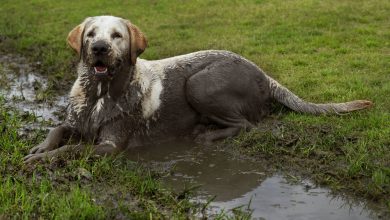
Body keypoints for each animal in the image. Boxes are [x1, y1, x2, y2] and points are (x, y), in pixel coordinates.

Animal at [23, 15, 372, 162]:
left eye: (117, 36)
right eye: (91, 34)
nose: (99, 48)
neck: (99, 92)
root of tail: (263, 73)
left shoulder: (111, 144)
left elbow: (73, 149)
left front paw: (43, 159)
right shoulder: (74, 121)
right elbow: (57, 130)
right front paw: (41, 148)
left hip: (199, 84)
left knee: (246, 124)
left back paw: (206, 135)